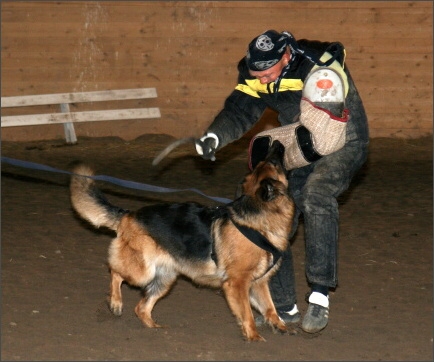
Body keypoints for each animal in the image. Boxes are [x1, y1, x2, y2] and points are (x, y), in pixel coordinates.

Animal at [70, 140, 294, 340]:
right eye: (273, 162)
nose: (277, 143)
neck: (258, 217)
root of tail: (128, 215)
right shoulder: (237, 283)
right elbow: (247, 314)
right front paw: (254, 337)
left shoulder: (258, 282)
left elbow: (270, 307)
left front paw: (280, 326)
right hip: (141, 272)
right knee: (115, 271)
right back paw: (116, 303)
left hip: (164, 278)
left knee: (141, 307)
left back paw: (154, 329)